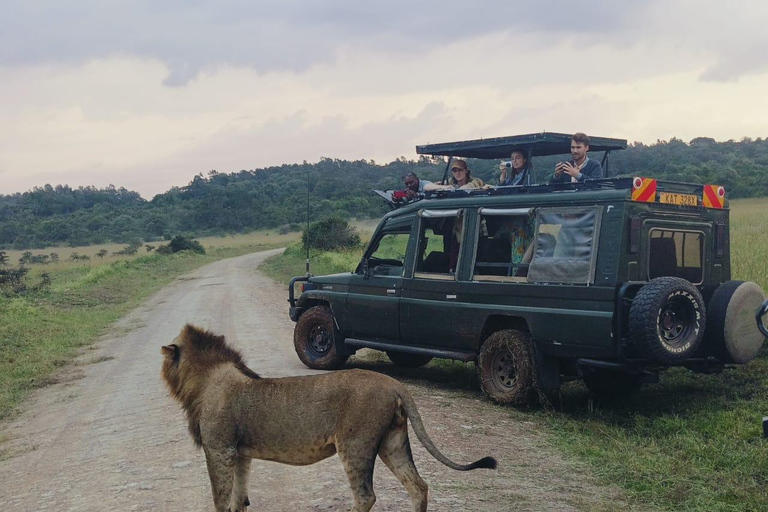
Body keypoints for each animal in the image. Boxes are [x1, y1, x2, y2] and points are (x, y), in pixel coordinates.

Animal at [162, 326, 498, 510]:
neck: (204, 379)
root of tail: (395, 384)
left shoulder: (219, 449)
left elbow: (221, 497)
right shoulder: (240, 452)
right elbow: (239, 497)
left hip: (356, 444)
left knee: (366, 496)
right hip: (392, 442)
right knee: (418, 485)